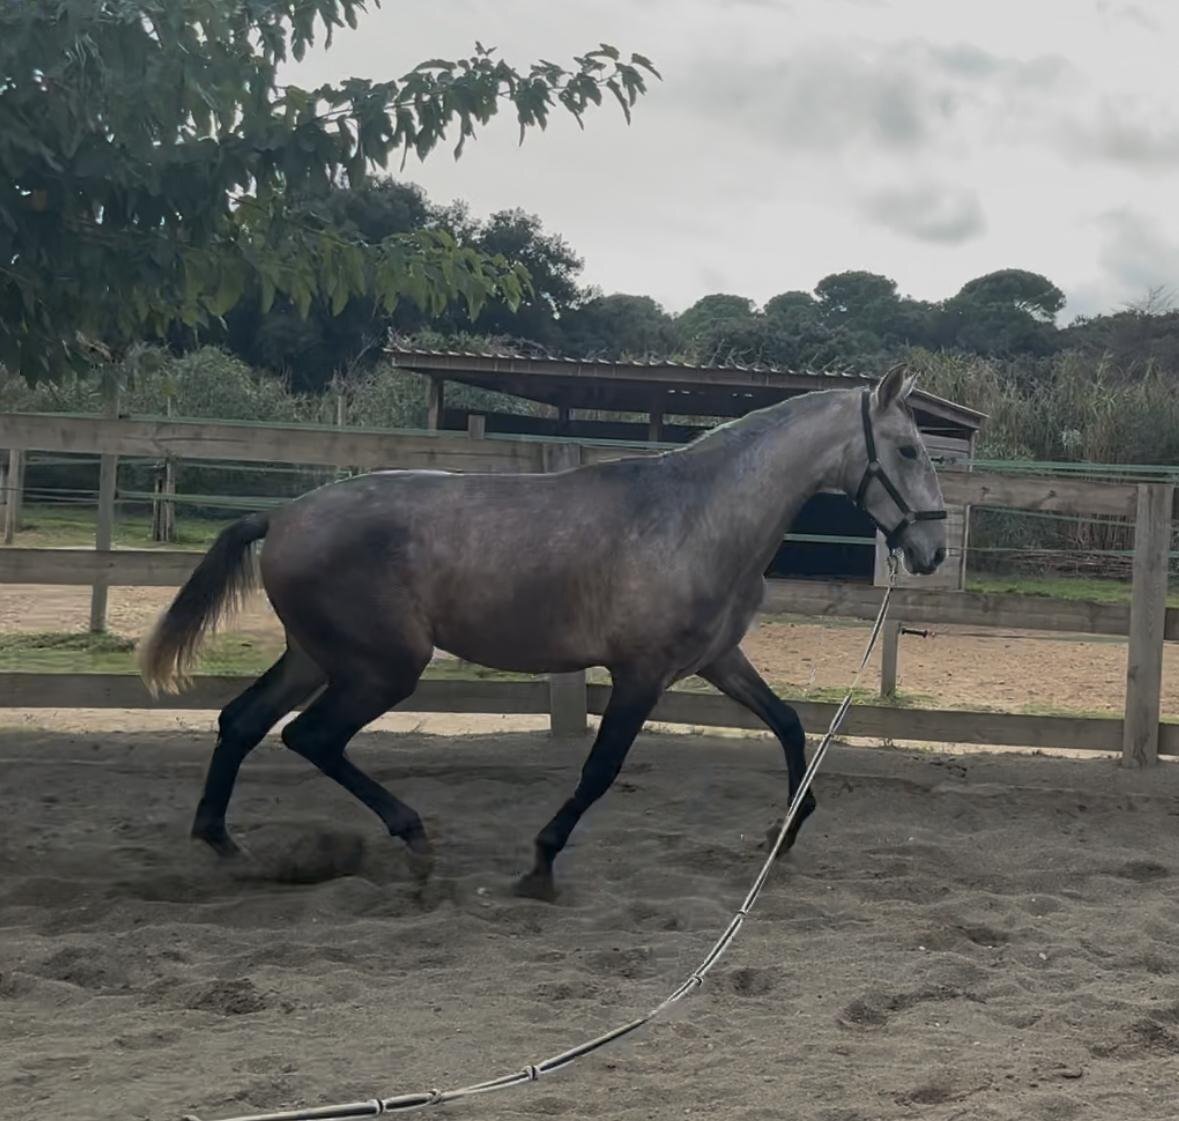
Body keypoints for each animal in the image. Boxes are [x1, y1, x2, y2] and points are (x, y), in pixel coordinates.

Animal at [138, 364, 947, 900]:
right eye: (908, 450)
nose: (931, 551)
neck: (699, 516)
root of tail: (282, 516)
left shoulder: (716, 658)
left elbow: (787, 723)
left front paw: (786, 830)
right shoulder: (640, 672)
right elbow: (599, 769)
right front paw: (540, 862)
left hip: (315, 656)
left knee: (241, 721)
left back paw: (227, 845)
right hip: (382, 667)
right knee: (309, 736)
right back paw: (414, 841)